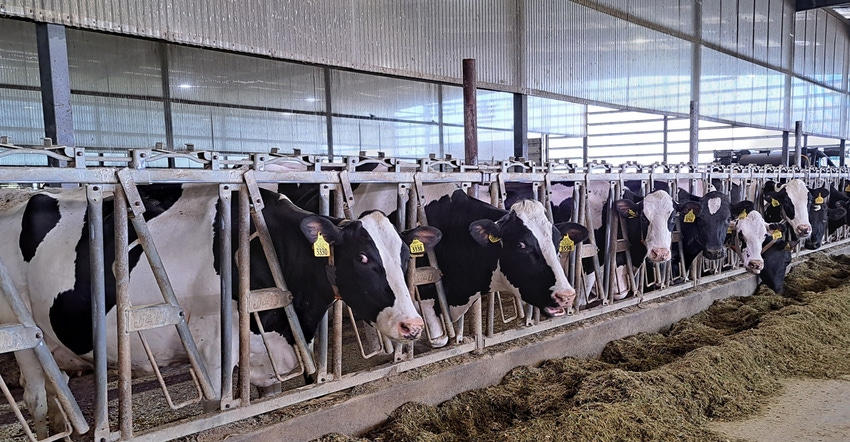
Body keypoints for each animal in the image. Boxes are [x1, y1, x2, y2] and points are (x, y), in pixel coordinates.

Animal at [0, 182, 438, 436]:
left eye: (405, 255)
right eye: (363, 258)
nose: (411, 325)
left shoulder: (267, 354)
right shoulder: (211, 352)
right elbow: (215, 408)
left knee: (57, 387)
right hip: (22, 336)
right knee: (36, 395)